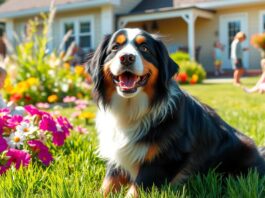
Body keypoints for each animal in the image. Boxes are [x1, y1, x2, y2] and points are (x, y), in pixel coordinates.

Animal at [87, 28, 264, 197]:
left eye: (144, 48)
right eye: (115, 48)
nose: (127, 57)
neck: (131, 110)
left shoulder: (164, 159)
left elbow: (136, 189)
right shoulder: (117, 154)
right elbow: (108, 183)